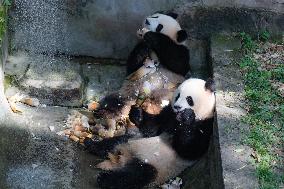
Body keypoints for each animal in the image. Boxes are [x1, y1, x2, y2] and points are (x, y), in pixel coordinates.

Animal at [84, 77, 215, 188]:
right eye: (177, 96)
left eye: (189, 99)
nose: (177, 107)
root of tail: (124, 156)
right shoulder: (168, 115)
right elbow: (152, 128)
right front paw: (137, 114)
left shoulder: (206, 125)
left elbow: (189, 149)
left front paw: (187, 117)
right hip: (131, 140)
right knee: (113, 142)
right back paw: (91, 144)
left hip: (156, 165)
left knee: (135, 176)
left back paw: (104, 179)